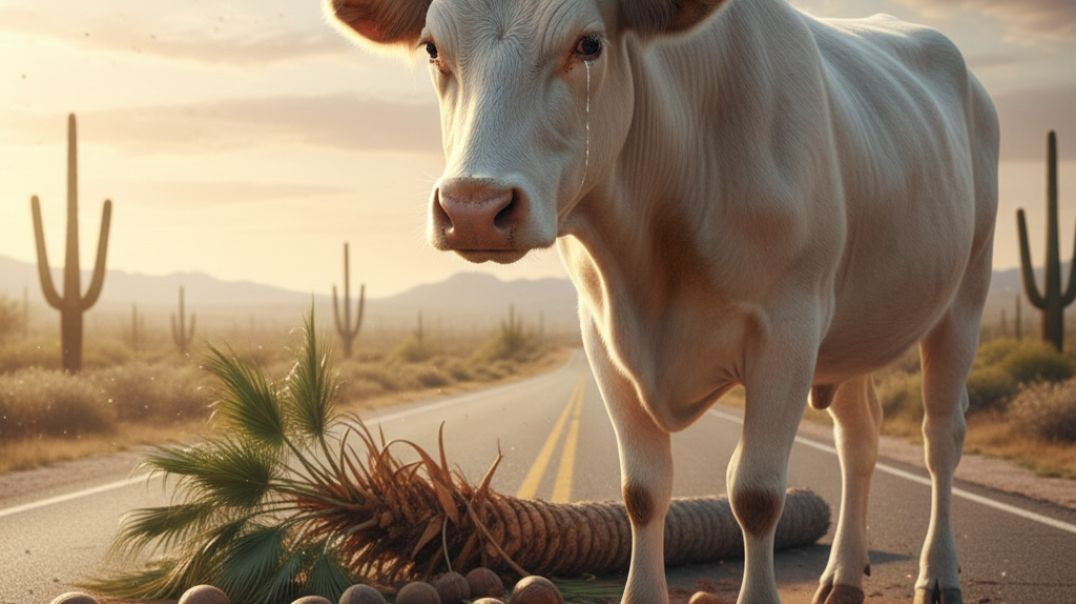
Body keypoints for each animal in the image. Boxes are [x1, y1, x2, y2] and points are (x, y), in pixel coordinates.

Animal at [326, 0, 998, 602]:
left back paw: (938, 574)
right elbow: (643, 491)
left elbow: (756, 494)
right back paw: (842, 575)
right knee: (859, 439)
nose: (473, 209)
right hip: (852, 336)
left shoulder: (788, 329)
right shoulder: (602, 337)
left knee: (941, 439)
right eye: (432, 48)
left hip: (963, 302)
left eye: (589, 44)